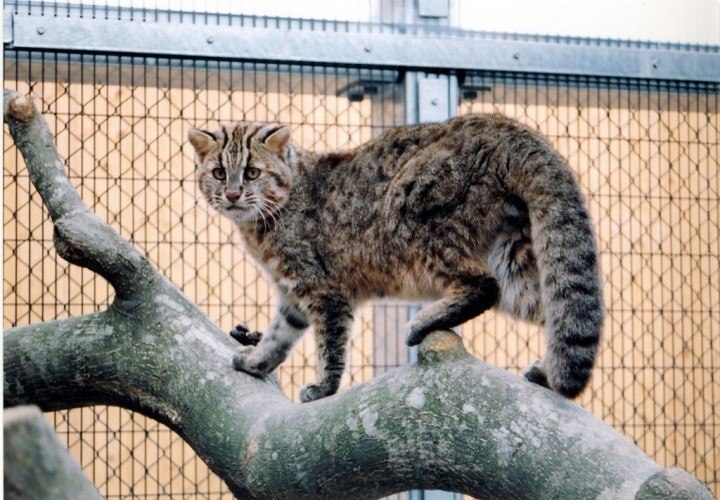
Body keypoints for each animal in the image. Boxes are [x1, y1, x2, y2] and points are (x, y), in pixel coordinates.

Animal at [190, 114, 600, 402]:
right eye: (218, 172)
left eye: (252, 172)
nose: (232, 194)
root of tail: (507, 126)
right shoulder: (293, 295)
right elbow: (279, 336)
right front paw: (256, 362)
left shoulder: (323, 291)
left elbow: (330, 346)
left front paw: (323, 387)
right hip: (512, 256)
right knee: (562, 310)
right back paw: (547, 371)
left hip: (413, 218)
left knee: (484, 285)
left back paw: (424, 322)